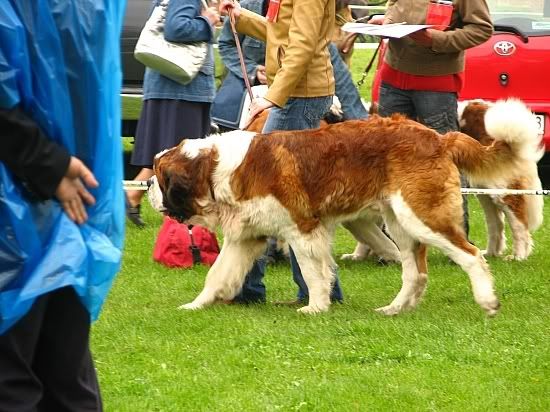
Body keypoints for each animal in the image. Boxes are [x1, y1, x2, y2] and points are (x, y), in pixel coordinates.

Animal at [458, 100, 544, 260]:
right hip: (485, 193)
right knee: (496, 224)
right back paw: (491, 253)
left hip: (503, 193)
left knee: (519, 225)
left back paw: (518, 256)